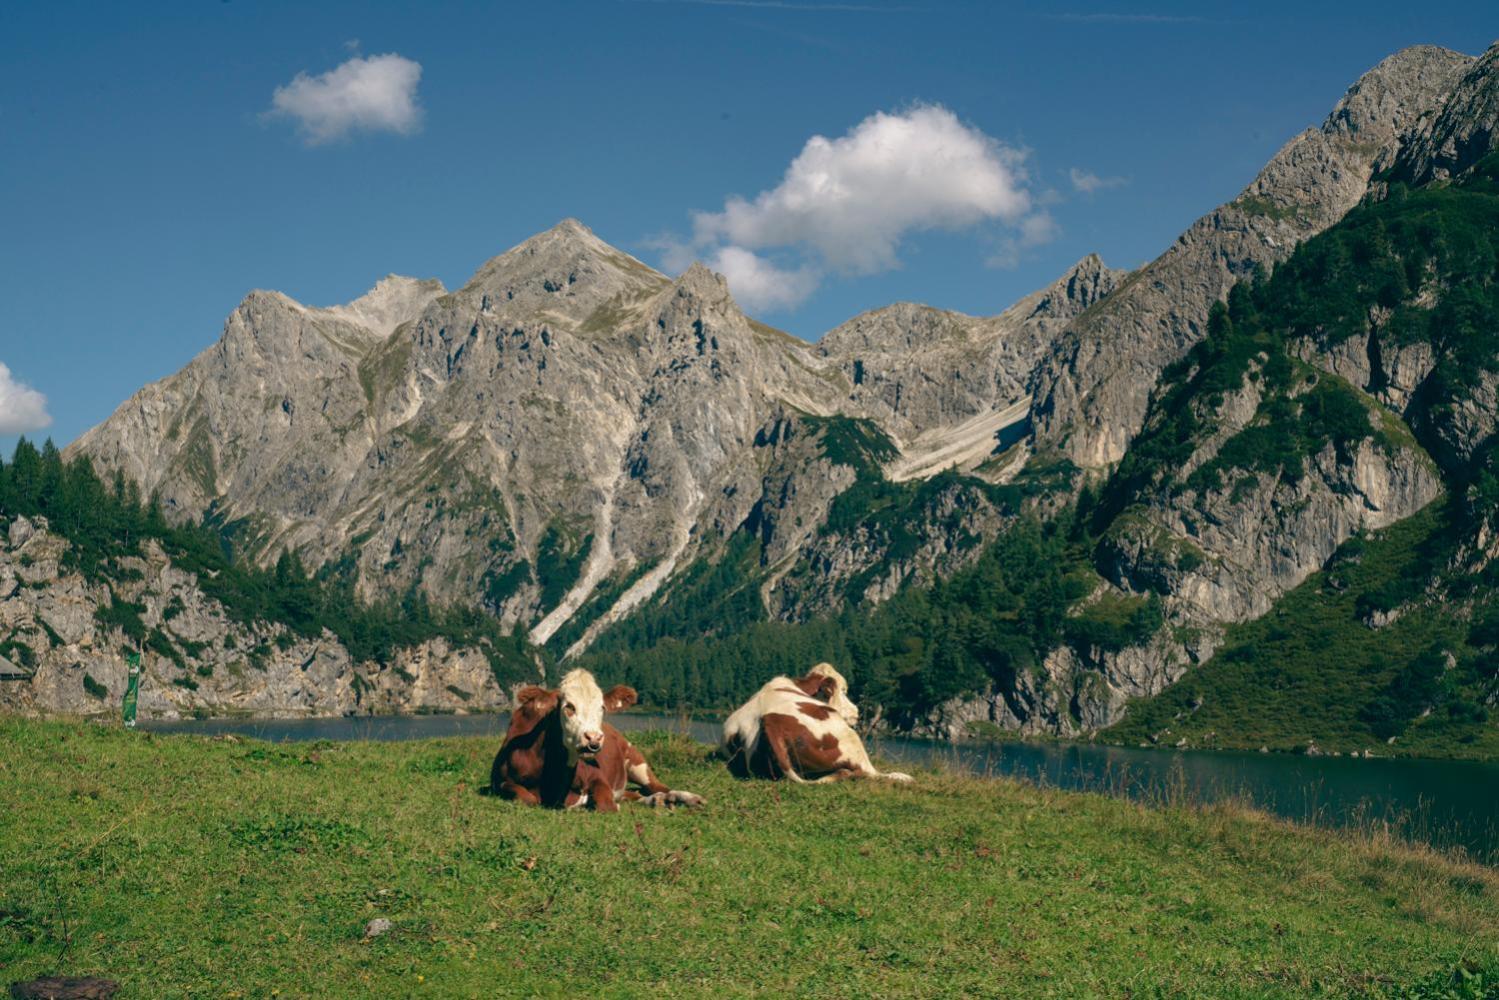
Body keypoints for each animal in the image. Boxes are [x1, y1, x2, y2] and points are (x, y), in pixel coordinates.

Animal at [488, 665, 704, 815]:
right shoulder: (499, 782)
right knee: (636, 794)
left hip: (637, 761)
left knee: (659, 787)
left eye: (602, 707)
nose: (594, 738)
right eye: (569, 706)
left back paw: (688, 798)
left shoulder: (598, 777)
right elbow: (527, 798)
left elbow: (607, 805)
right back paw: (656, 801)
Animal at [719, 659, 905, 785]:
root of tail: (771, 723)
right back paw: (902, 777)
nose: (856, 712)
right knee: (870, 772)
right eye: (843, 691)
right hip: (851, 739)